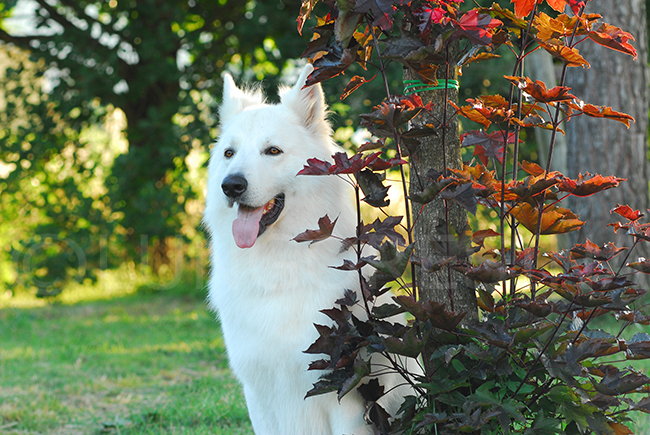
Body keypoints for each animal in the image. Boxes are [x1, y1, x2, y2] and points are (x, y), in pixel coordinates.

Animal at [202, 64, 410, 435]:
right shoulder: (260, 395)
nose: (231, 185)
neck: (279, 264)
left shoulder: (346, 394)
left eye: (272, 151)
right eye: (229, 153)